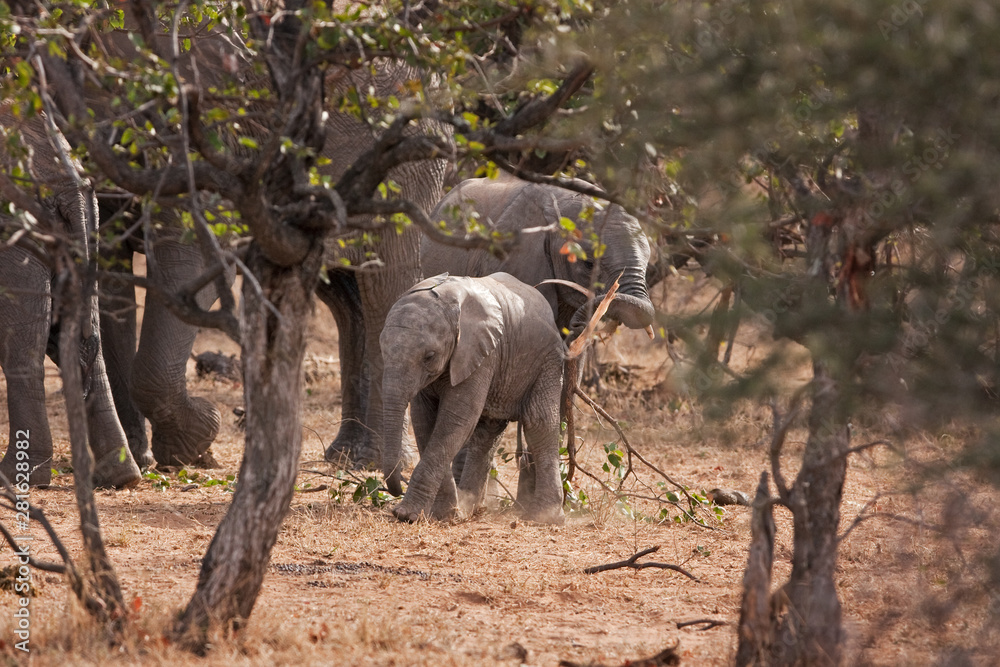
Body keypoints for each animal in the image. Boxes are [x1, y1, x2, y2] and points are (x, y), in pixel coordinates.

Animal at [0, 106, 142, 488]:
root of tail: (69, 186)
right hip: (83, 229)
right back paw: (120, 475)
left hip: (18, 230)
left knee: (23, 346)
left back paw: (19, 476)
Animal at [380, 272, 565, 525]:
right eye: (381, 349)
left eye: (429, 356)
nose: (396, 486)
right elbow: (425, 421)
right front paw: (445, 513)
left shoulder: (482, 353)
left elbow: (456, 418)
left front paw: (407, 515)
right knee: (488, 431)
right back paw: (470, 508)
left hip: (547, 360)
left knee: (539, 422)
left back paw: (544, 517)